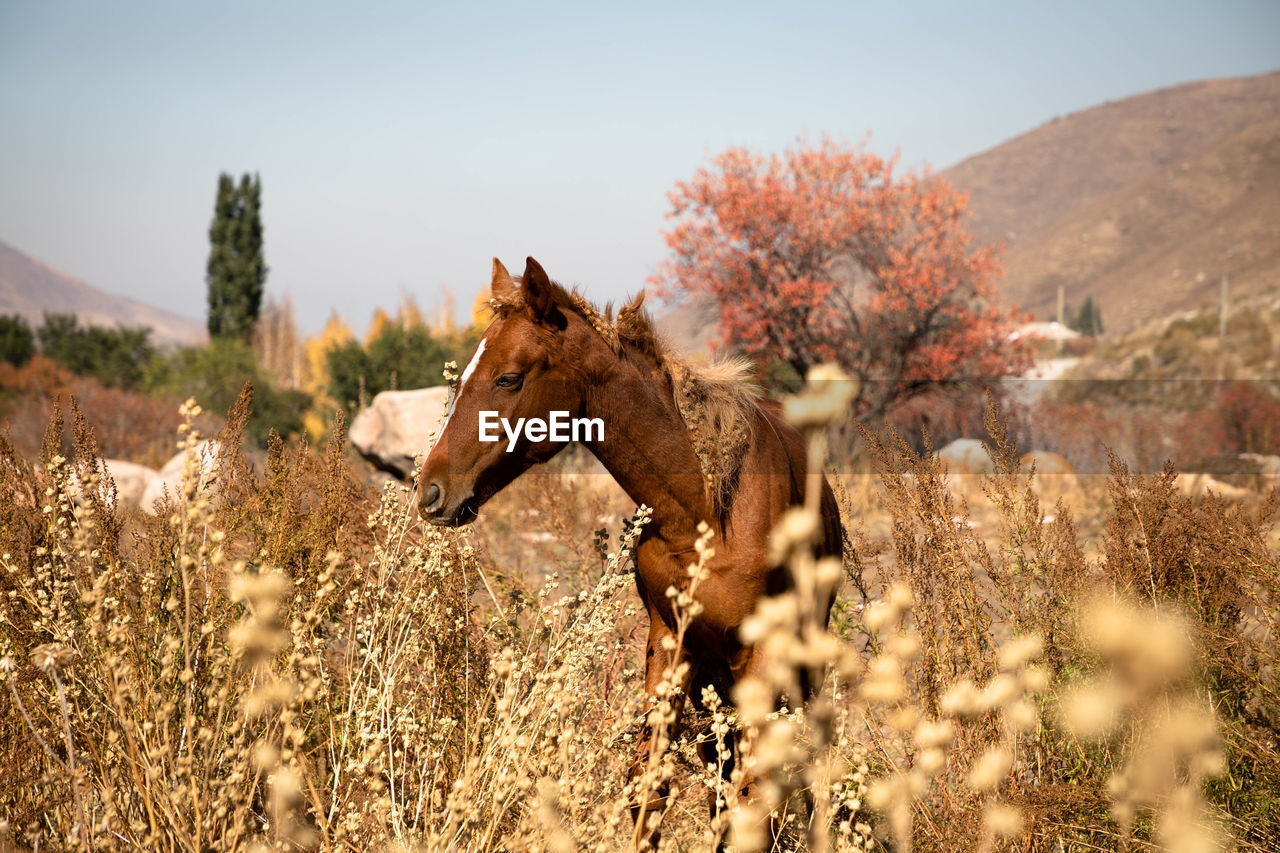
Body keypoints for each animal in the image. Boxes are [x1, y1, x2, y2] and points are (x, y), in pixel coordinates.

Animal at [414, 253, 844, 835]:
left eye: (508, 377)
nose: (430, 491)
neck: (705, 507)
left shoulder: (763, 651)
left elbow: (753, 798)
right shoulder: (668, 641)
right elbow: (648, 787)